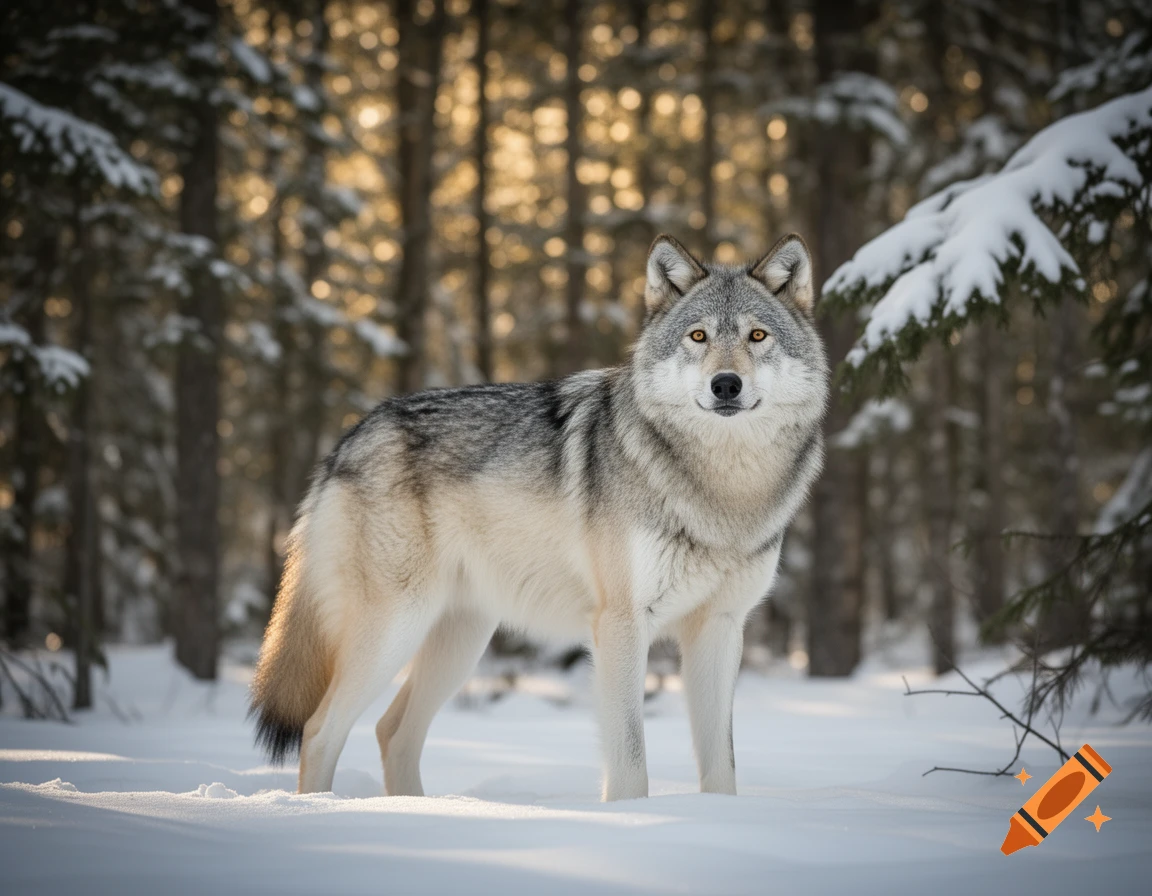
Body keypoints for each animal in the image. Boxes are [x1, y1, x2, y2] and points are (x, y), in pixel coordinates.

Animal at [250, 233, 829, 801]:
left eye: (757, 335)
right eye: (699, 336)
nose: (725, 384)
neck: (724, 490)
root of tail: (350, 436)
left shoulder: (721, 629)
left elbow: (721, 770)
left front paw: (717, 819)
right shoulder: (620, 624)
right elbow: (631, 766)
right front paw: (634, 820)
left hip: (459, 641)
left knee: (392, 731)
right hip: (396, 628)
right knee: (319, 730)